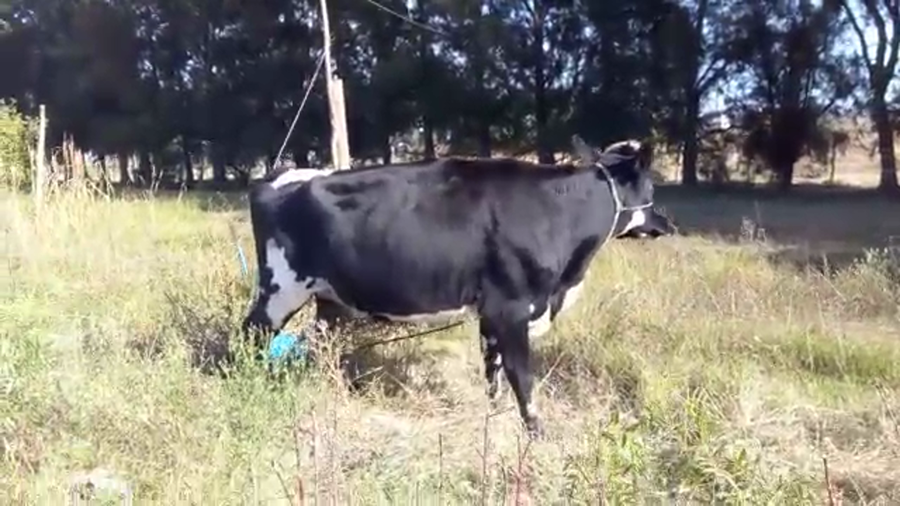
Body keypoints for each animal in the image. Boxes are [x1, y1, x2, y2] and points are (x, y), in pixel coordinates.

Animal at [240, 136, 676, 438]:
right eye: (652, 189)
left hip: (328, 299)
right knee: (251, 336)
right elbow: (522, 376)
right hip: (281, 289)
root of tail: (274, 176)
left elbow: (493, 370)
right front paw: (537, 433)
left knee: (321, 346)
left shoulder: (491, 313)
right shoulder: (510, 307)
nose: (669, 224)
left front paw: (493, 415)